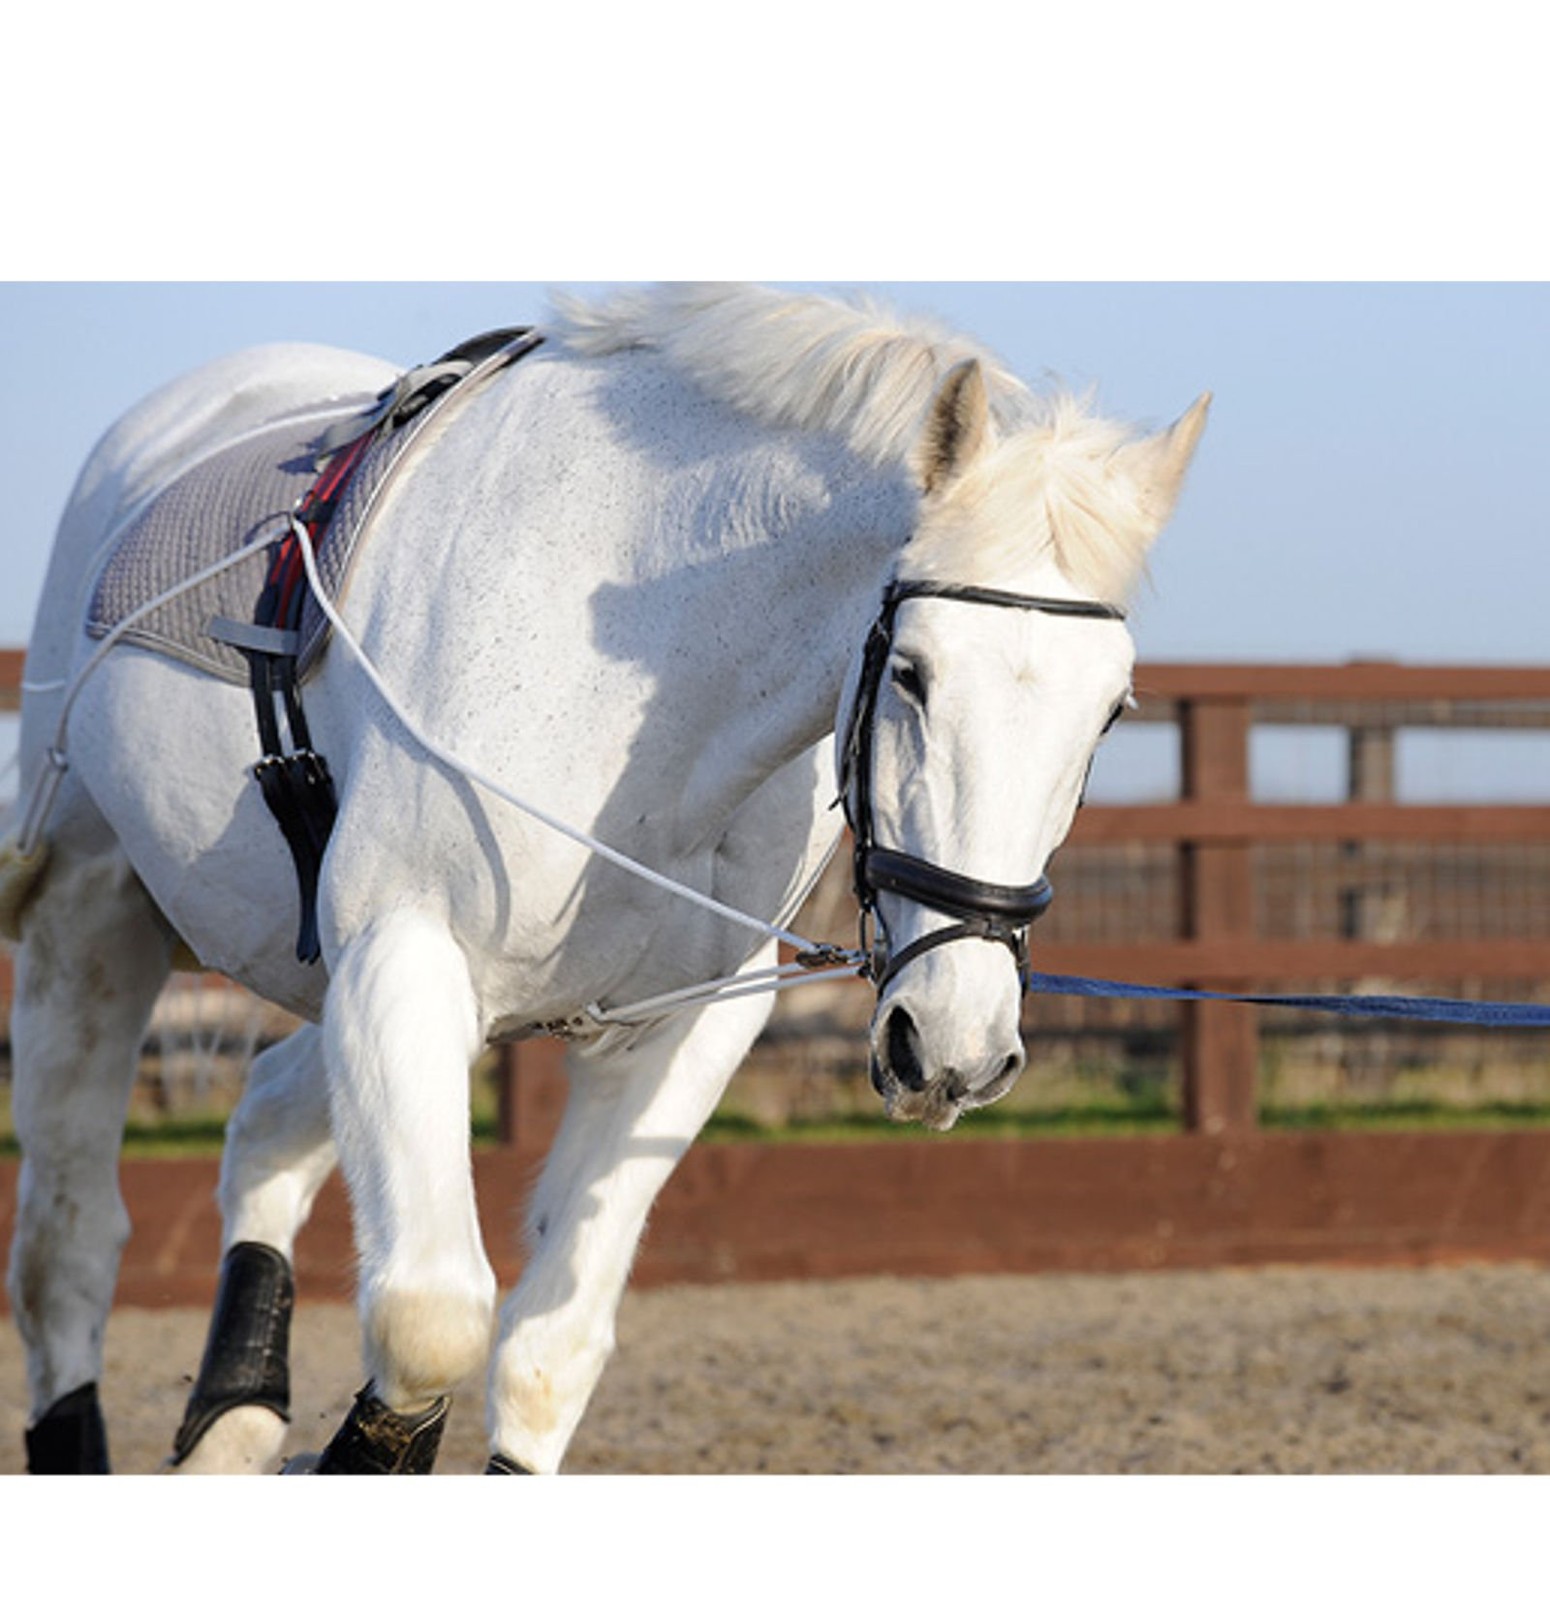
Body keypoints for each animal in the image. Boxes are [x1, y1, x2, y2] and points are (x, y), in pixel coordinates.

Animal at [1, 283, 1208, 1474]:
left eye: (1110, 710)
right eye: (911, 672)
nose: (954, 1047)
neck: (637, 676)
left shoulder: (674, 1028)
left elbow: (550, 1354)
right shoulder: (405, 956)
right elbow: (430, 1322)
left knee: (260, 1120)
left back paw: (236, 1419)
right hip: (92, 924)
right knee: (66, 1247)